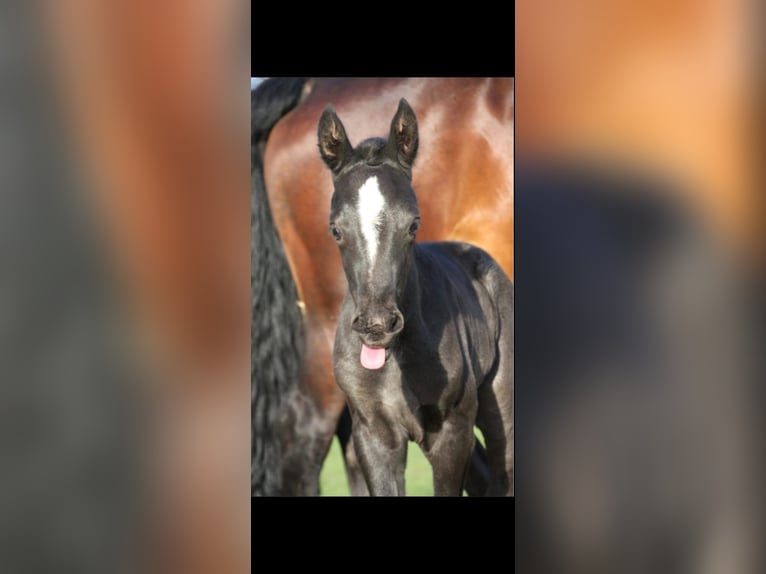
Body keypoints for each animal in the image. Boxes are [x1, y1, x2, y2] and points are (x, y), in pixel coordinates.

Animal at [251, 78, 514, 495]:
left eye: (413, 224)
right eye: (335, 230)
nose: (377, 325)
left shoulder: (452, 434)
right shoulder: (374, 436)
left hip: (499, 407)